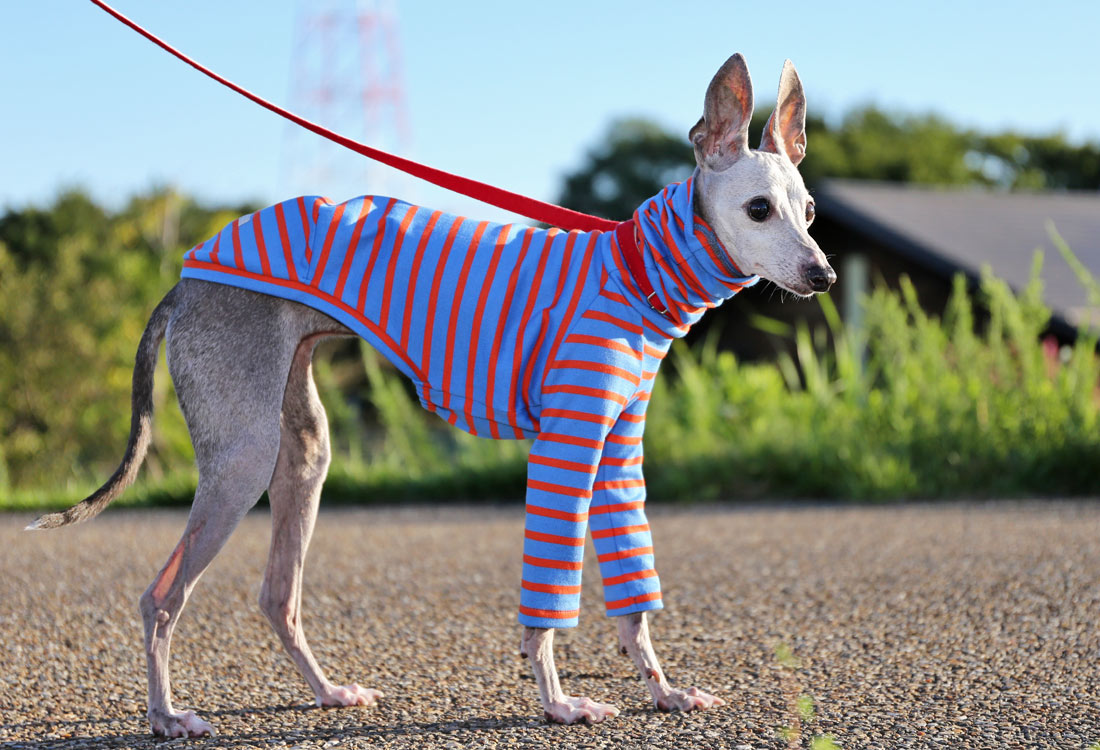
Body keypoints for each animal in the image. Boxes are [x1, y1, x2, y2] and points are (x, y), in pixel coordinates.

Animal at [25, 54, 831, 734]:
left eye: (811, 210)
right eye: (759, 209)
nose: (822, 275)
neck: (635, 272)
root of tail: (186, 280)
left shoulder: (617, 454)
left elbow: (635, 600)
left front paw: (666, 692)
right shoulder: (566, 447)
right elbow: (546, 603)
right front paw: (560, 703)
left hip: (302, 452)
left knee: (277, 597)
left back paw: (329, 692)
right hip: (241, 459)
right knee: (161, 597)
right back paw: (167, 717)